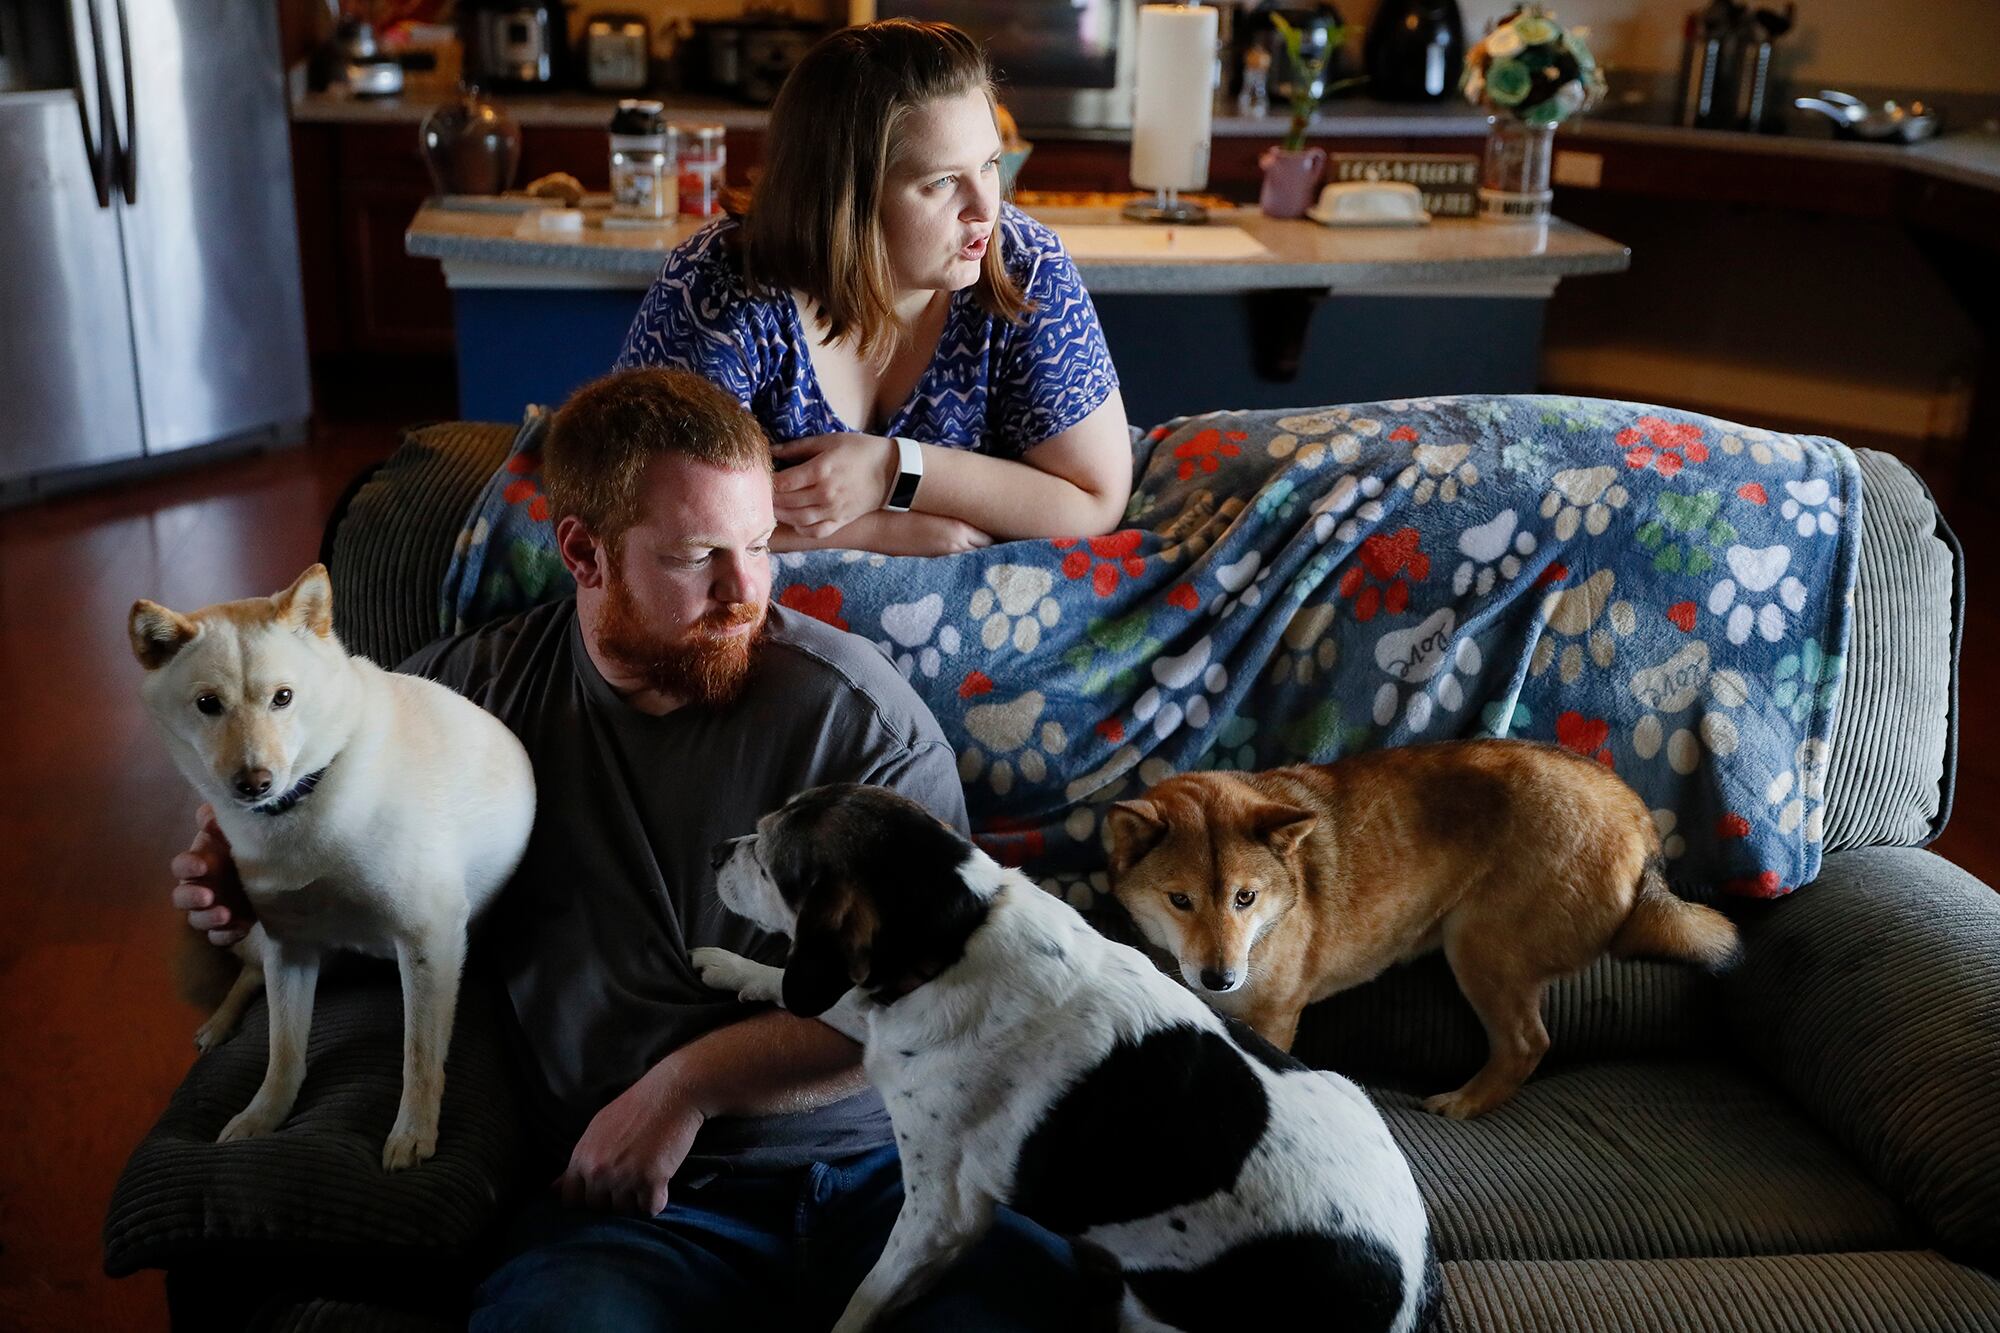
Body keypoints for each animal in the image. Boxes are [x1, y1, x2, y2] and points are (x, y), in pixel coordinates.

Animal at [692, 780, 1440, 1328]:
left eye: (768, 857)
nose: (715, 852)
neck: (959, 935)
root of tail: (1412, 1297)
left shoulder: (942, 1211)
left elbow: (864, 1298)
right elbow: (814, 996)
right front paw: (733, 967)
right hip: (1348, 1087)